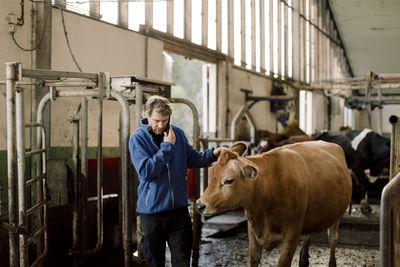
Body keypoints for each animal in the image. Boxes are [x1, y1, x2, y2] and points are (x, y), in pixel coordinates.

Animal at [198, 141, 352, 266]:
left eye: (229, 180)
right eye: (211, 174)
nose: (200, 205)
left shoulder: (293, 229)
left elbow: (283, 261)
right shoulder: (252, 227)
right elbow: (254, 258)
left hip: (337, 215)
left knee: (333, 239)